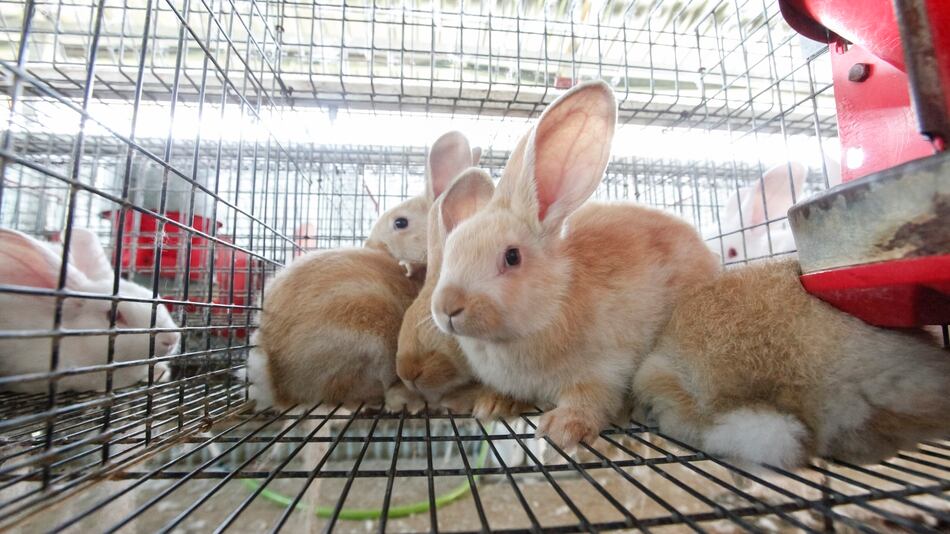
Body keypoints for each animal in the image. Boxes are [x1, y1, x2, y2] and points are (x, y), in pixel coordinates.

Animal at [430, 80, 720, 451]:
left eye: (512, 256)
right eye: (450, 254)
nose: (448, 307)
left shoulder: (605, 366)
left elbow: (590, 397)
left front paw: (562, 428)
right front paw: (492, 405)